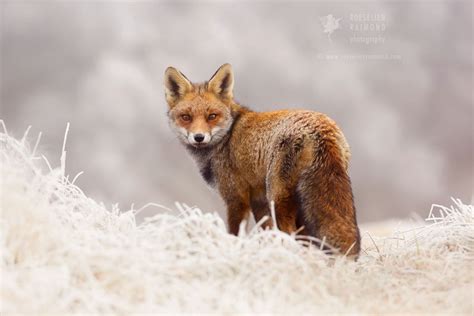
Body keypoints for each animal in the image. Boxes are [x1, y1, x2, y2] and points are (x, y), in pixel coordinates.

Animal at [163, 63, 360, 256]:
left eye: (212, 116)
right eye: (186, 117)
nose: (199, 137)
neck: (226, 138)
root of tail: (321, 131)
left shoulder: (236, 198)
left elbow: (235, 234)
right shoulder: (259, 201)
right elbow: (266, 235)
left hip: (278, 198)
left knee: (290, 234)